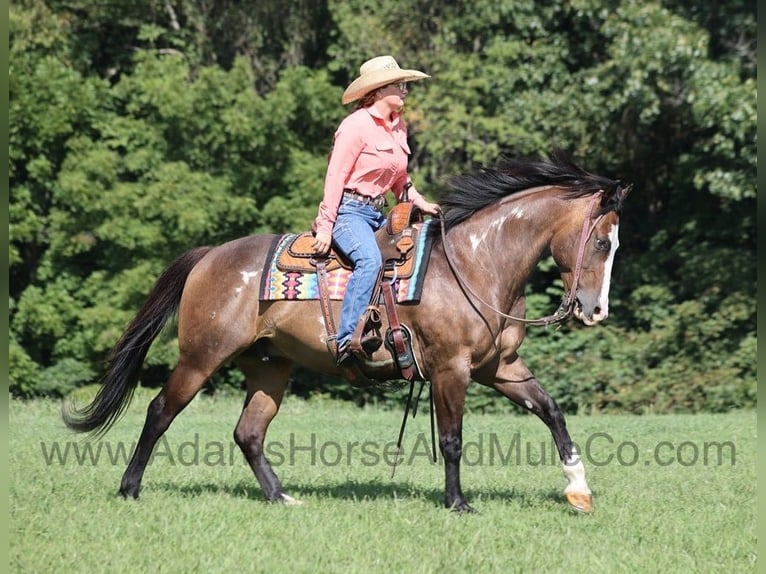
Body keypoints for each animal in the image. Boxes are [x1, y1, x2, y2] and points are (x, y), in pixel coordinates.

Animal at [64, 152, 632, 512]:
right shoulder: (452, 369)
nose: (595, 309)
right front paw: (458, 502)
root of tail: (210, 256)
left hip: (269, 368)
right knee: (160, 410)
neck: (476, 263)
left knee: (249, 432)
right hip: (201, 357)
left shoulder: (501, 368)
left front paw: (578, 491)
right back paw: (130, 489)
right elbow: (452, 439)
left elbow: (552, 412)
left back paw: (281, 496)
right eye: (603, 242)